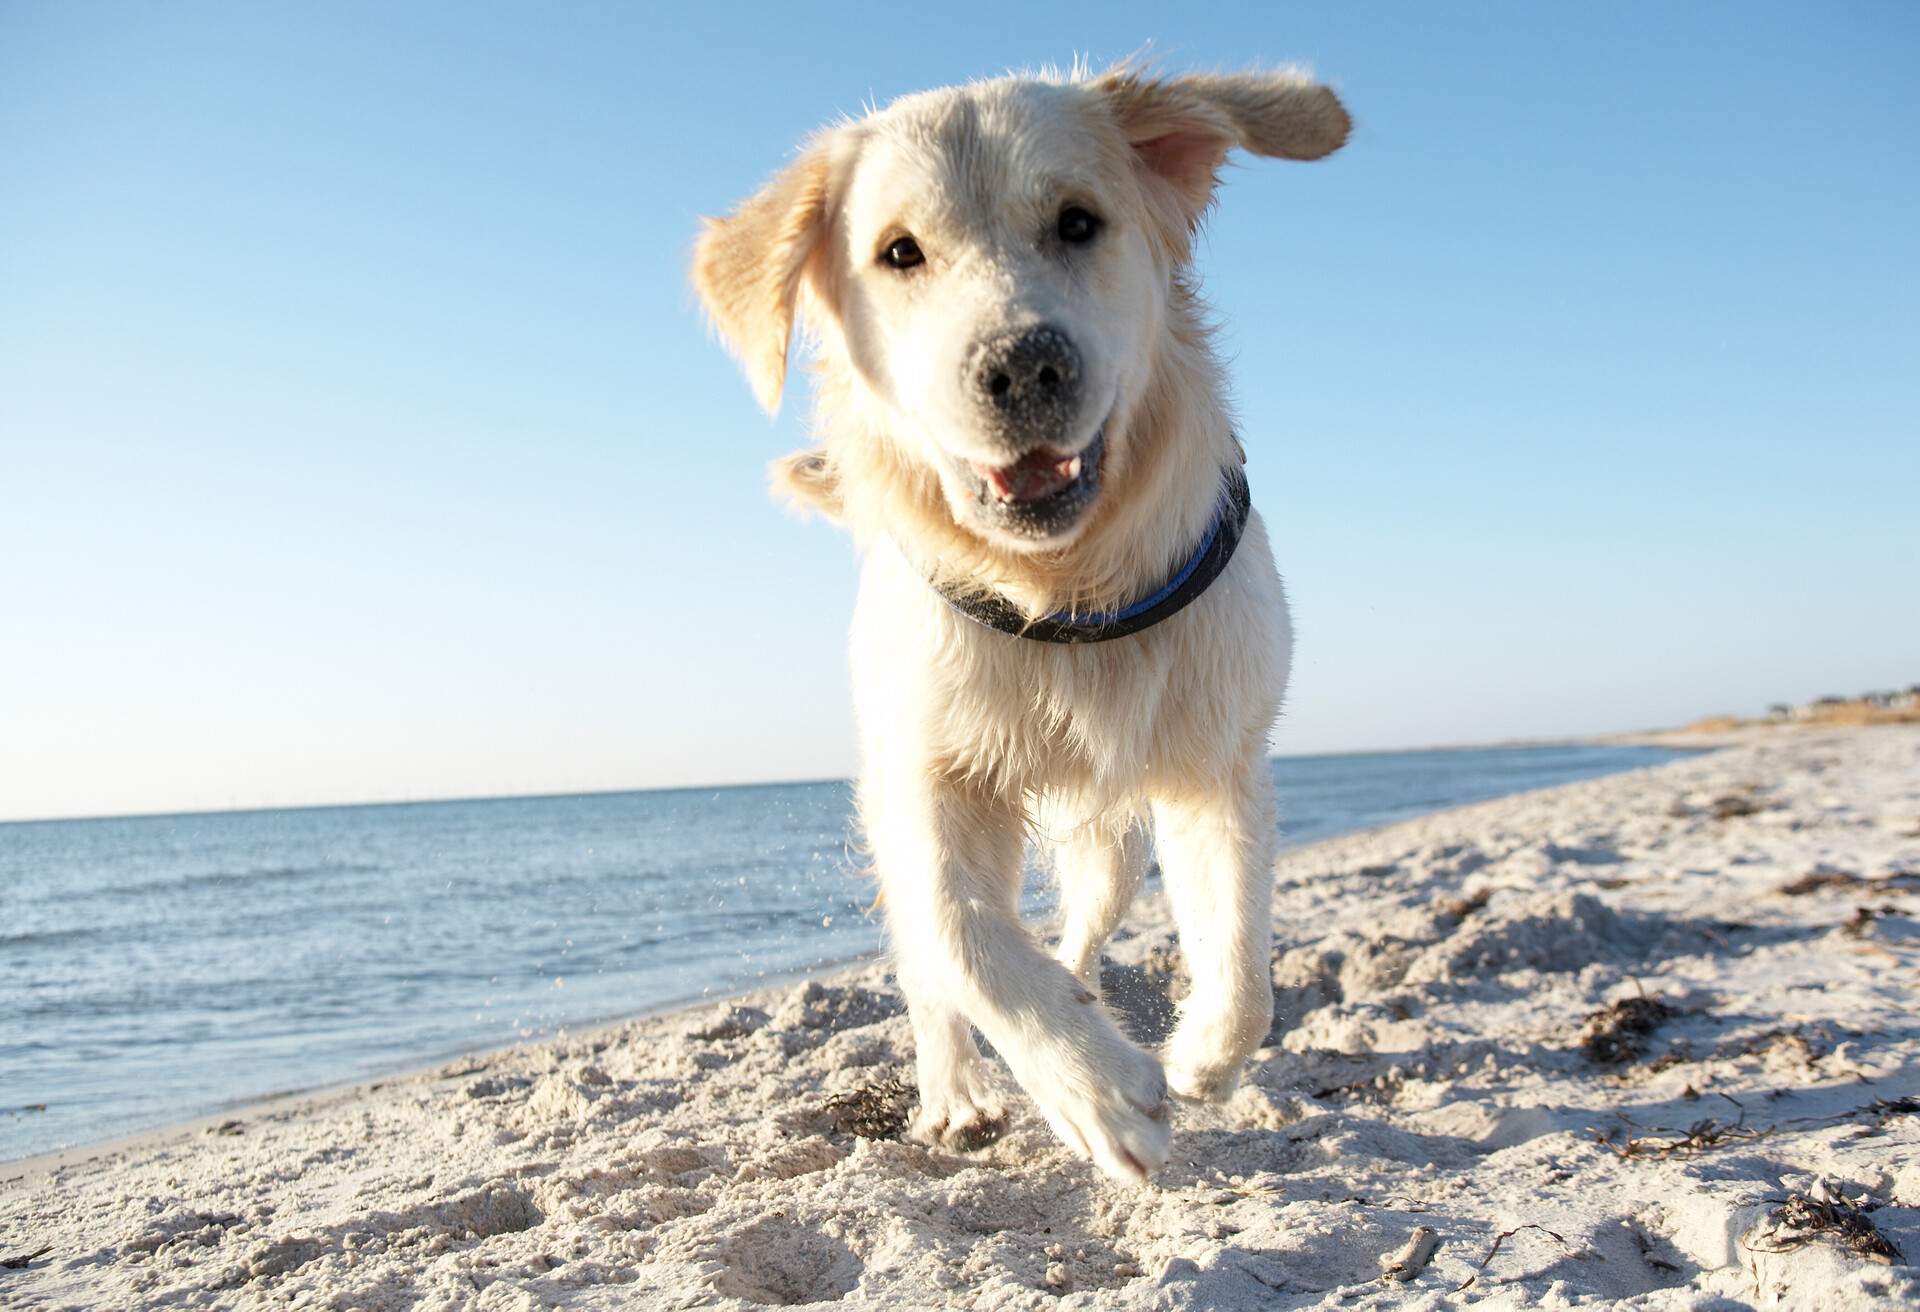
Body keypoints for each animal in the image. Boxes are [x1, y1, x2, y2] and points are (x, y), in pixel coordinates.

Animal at [695, 66, 1351, 1183]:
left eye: (1079, 222)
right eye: (900, 252)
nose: (1022, 366)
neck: (1062, 596)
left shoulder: (1217, 757)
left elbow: (1243, 967)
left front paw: (1198, 1059)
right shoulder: (922, 779)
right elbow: (963, 938)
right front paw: (1095, 1091)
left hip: (1109, 839)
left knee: (1078, 927)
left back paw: (1085, 991)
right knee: (939, 971)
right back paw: (958, 1094)